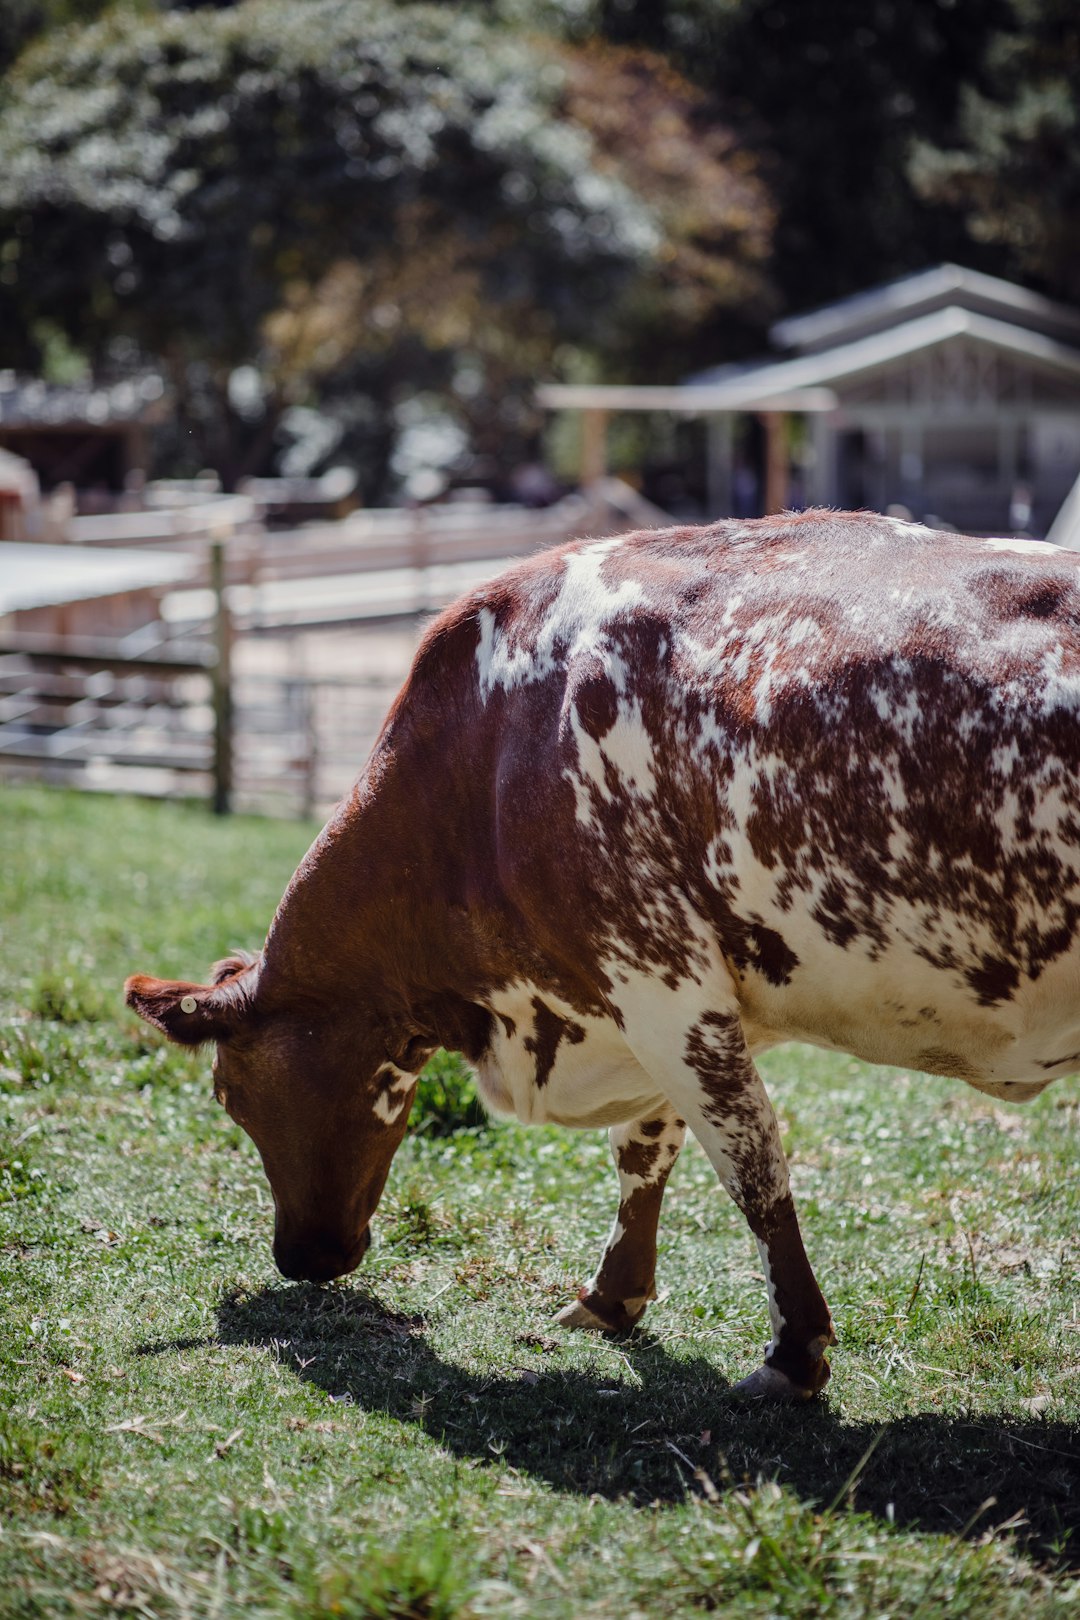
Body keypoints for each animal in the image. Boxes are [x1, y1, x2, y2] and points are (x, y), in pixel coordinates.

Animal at [124, 511, 1080, 1399]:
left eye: (231, 1096)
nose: (300, 1259)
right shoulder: (664, 1001)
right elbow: (646, 1148)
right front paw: (613, 1296)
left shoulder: (659, 981)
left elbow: (752, 1169)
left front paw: (793, 1352)